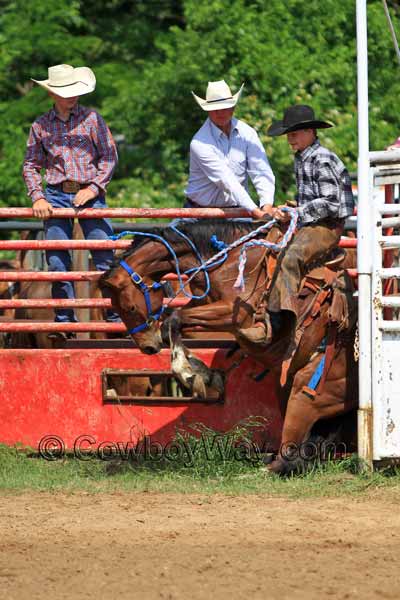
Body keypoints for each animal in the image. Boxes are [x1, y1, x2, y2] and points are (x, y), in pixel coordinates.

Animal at [98, 218, 358, 476]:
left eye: (129, 307)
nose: (147, 347)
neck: (227, 263)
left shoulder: (234, 315)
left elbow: (174, 319)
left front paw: (189, 372)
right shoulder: (203, 305)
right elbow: (175, 321)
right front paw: (202, 373)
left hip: (302, 399)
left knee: (288, 456)